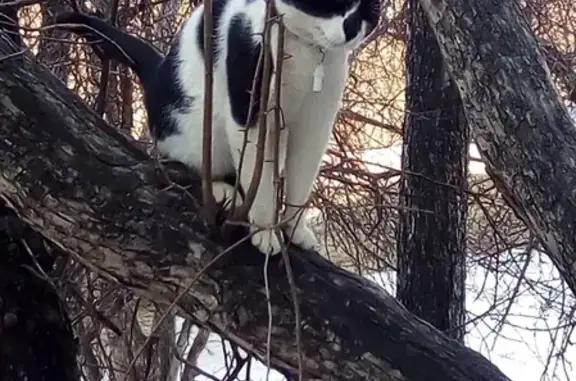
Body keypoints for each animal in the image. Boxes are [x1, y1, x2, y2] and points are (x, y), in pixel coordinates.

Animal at [56, 0, 380, 255]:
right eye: (332, 1)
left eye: (369, 8)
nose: (352, 26)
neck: (308, 53)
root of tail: (158, 72)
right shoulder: (249, 105)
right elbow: (260, 180)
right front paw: (265, 232)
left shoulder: (317, 121)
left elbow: (302, 178)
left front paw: (295, 228)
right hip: (196, 129)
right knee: (171, 162)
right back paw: (223, 190)